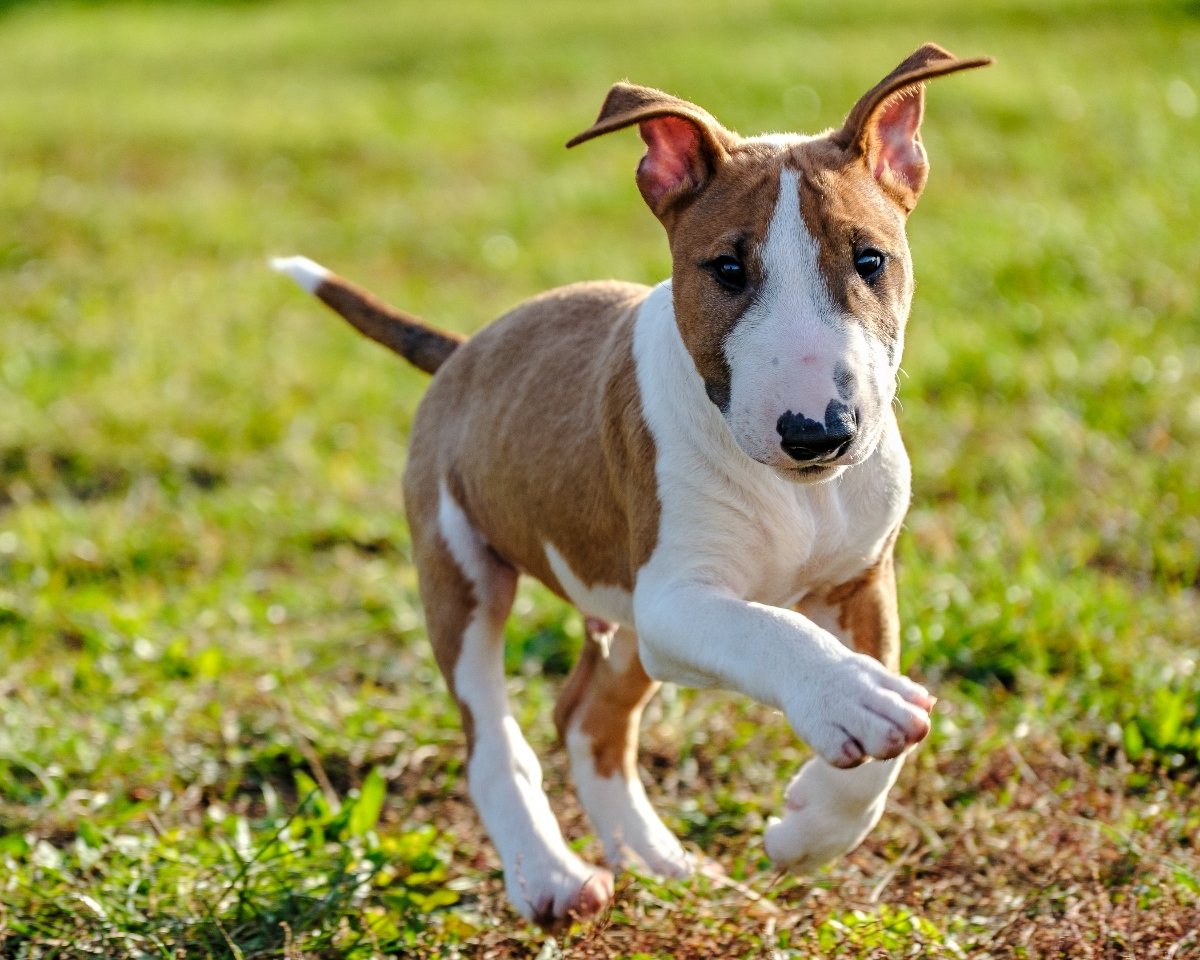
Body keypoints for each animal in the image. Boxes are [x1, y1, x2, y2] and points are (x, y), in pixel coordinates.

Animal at [274, 43, 993, 921]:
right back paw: (551, 876)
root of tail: (463, 350)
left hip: (617, 619)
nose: (817, 433)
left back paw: (661, 861)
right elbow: (773, 631)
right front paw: (847, 700)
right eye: (726, 268)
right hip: (462, 570)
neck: (795, 492)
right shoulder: (675, 599)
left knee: (588, 718)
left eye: (870, 261)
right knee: (493, 736)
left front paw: (809, 833)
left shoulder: (861, 581)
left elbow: (887, 738)